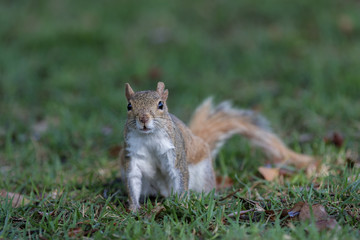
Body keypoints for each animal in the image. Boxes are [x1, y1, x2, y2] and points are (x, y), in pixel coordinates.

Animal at [120, 81, 312, 211]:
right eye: (129, 106)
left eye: (161, 105)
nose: (143, 119)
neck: (149, 137)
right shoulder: (132, 155)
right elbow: (133, 178)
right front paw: (134, 208)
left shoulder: (175, 153)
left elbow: (180, 175)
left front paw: (181, 203)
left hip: (203, 174)